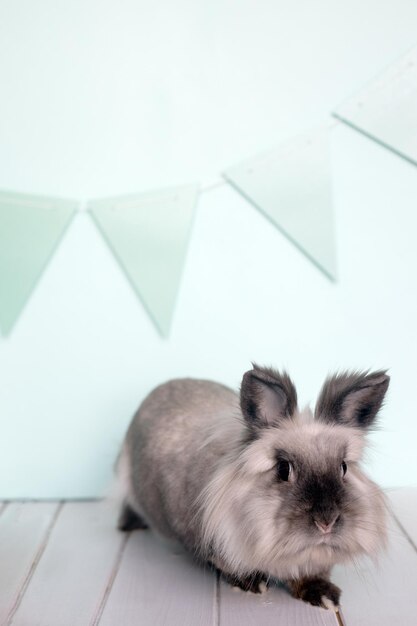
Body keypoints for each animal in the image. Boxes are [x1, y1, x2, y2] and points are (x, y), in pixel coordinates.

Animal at [115, 364, 388, 608]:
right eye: (283, 469)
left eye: (343, 467)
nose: (326, 522)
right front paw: (251, 584)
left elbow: (310, 575)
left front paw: (324, 596)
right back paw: (128, 525)